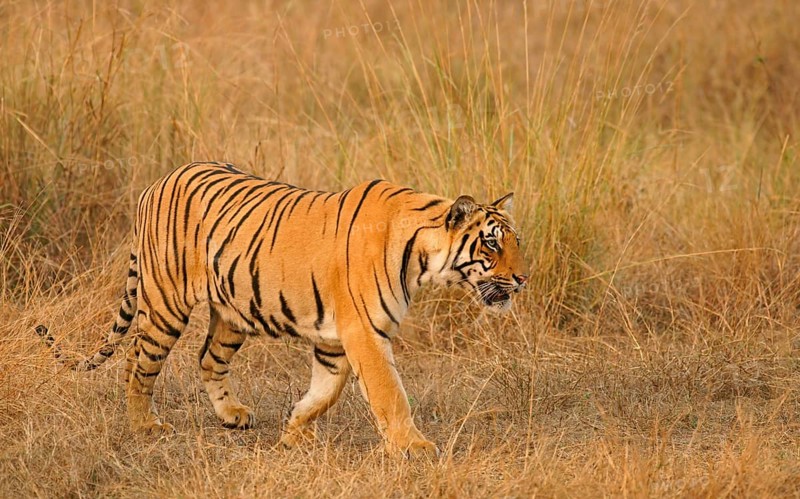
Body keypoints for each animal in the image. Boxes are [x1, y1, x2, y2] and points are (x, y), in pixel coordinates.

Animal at [36, 161, 528, 458]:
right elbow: (390, 393)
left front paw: (294, 431)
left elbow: (325, 391)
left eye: (516, 241)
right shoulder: (365, 333)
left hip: (232, 312)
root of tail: (157, 182)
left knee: (204, 359)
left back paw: (231, 415)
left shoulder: (336, 340)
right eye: (491, 244)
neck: (421, 259)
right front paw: (415, 447)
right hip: (166, 305)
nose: (523, 279)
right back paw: (145, 427)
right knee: (139, 364)